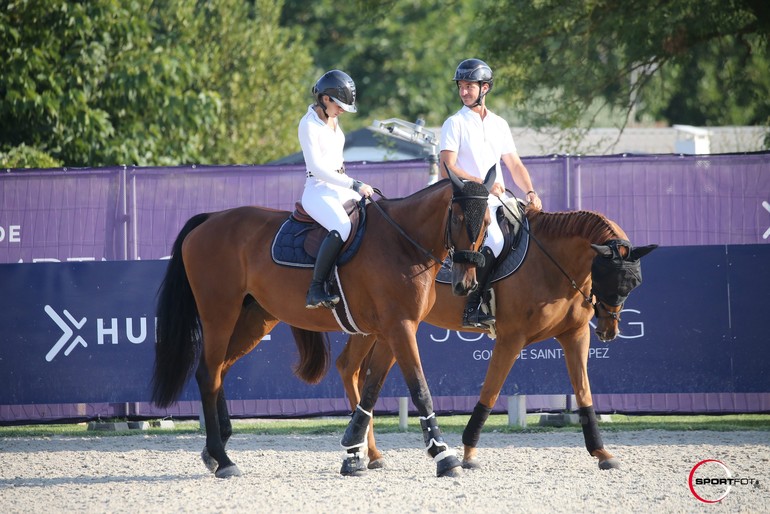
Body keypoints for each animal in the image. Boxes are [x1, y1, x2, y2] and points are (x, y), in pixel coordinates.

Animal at [152, 167, 498, 476]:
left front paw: (354, 448)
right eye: (457, 218)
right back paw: (223, 459)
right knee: (209, 374)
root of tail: (210, 218)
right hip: (219, 315)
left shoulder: (394, 329)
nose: (465, 284)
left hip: (254, 320)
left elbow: (371, 388)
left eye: (487, 222)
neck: (403, 242)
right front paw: (443, 456)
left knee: (220, 370)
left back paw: (215, 451)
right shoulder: (399, 327)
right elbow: (420, 389)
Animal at [336, 207, 656, 468]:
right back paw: (363, 451)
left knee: (356, 371)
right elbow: (489, 393)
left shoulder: (575, 336)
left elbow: (584, 394)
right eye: (608, 278)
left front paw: (602, 453)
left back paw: (369, 453)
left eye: (633, 284)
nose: (609, 331)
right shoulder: (511, 339)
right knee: (349, 369)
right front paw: (468, 454)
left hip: (380, 330)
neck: (550, 263)